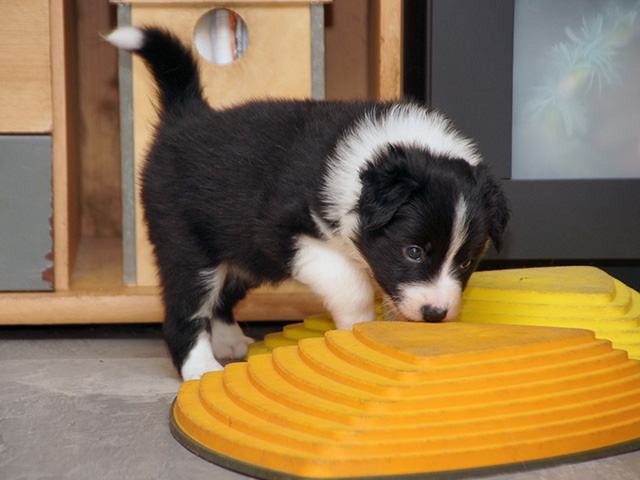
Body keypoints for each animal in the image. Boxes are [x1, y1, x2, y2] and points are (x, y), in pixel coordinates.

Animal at [107, 26, 510, 381]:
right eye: (413, 252)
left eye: (466, 262)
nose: (435, 313)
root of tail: (185, 117)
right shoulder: (279, 233)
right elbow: (350, 285)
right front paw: (360, 327)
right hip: (186, 243)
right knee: (186, 311)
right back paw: (201, 368)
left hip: (239, 253)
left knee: (221, 297)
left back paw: (228, 340)